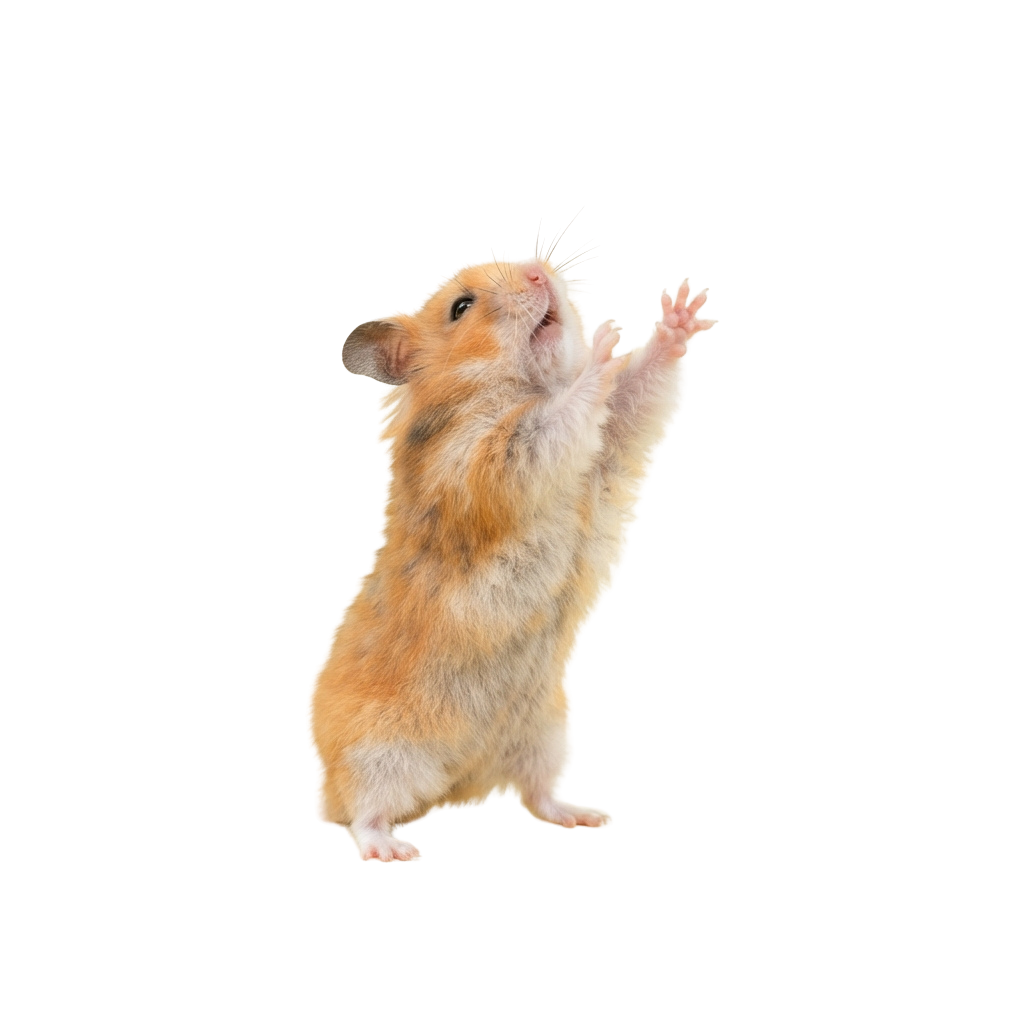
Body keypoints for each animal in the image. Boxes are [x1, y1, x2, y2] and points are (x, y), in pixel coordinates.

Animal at [307, 224, 717, 862]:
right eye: (461, 307)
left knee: (539, 795)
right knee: (362, 814)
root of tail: (458, 786)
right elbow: (558, 416)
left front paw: (679, 309)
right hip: (376, 754)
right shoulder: (486, 461)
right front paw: (604, 339)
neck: (521, 387)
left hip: (549, 737)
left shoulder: (613, 443)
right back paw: (395, 850)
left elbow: (638, 390)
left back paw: (589, 816)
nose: (537, 272)